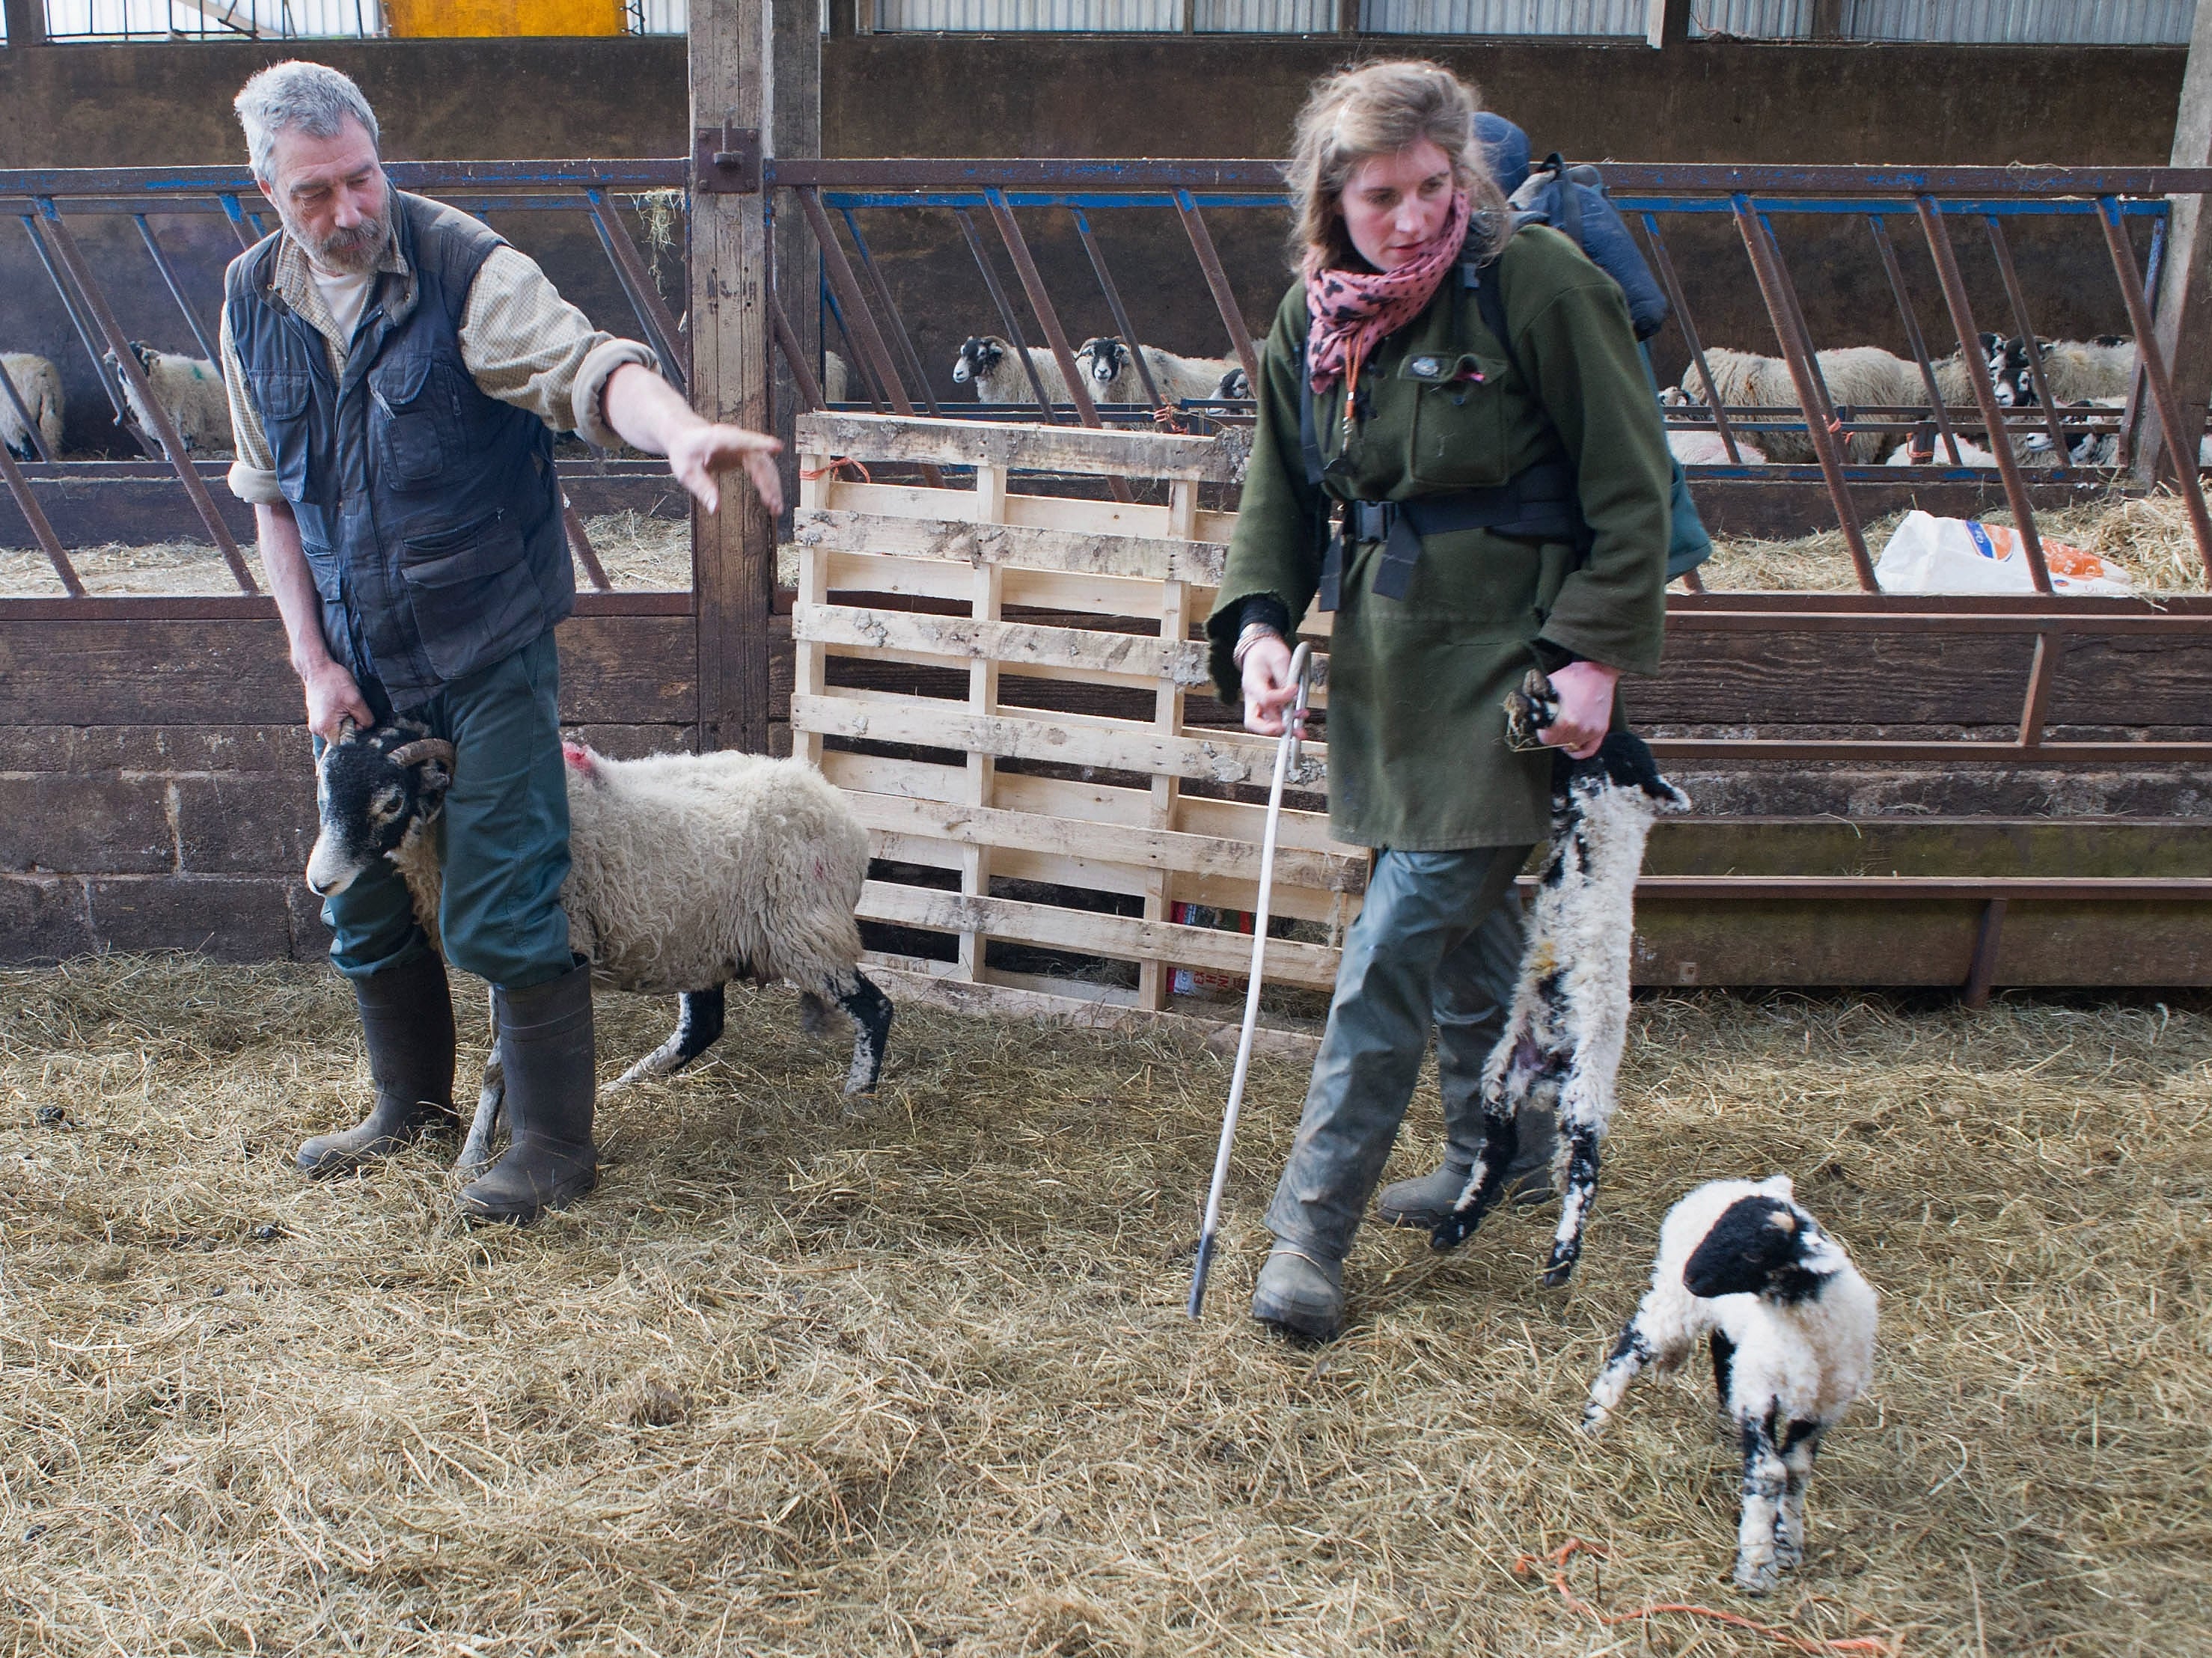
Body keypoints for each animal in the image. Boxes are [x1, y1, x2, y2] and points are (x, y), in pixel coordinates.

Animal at [307, 725, 893, 1167]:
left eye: (391, 802)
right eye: (324, 795)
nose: (319, 882)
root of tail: (837, 809)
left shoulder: (544, 946)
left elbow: (498, 1064)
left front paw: (474, 1159)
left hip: (804, 930)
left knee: (875, 1008)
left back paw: (856, 1099)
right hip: (699, 936)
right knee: (701, 1027)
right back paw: (623, 1085)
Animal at [1424, 672, 1681, 1282]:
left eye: (1626, 751)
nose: (1608, 733)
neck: (1623, 812)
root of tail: (1551, 1069)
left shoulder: (1583, 800)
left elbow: (1564, 769)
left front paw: (1540, 703)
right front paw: (1537, 696)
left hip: (1586, 1094)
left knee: (1584, 1172)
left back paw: (1563, 1259)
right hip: (1501, 1078)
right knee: (1497, 1153)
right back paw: (1456, 1226)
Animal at [1583, 1175, 1875, 1600]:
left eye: (1756, 1252)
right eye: (1718, 1230)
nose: (1691, 1277)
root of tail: (1724, 1183)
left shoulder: (1822, 1406)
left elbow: (1797, 1469)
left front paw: (1787, 1544)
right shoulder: (1760, 1391)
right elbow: (1769, 1473)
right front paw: (1756, 1567)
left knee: (1722, 1349)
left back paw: (1724, 1422)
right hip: (1673, 1303)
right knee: (1632, 1343)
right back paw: (1596, 1418)